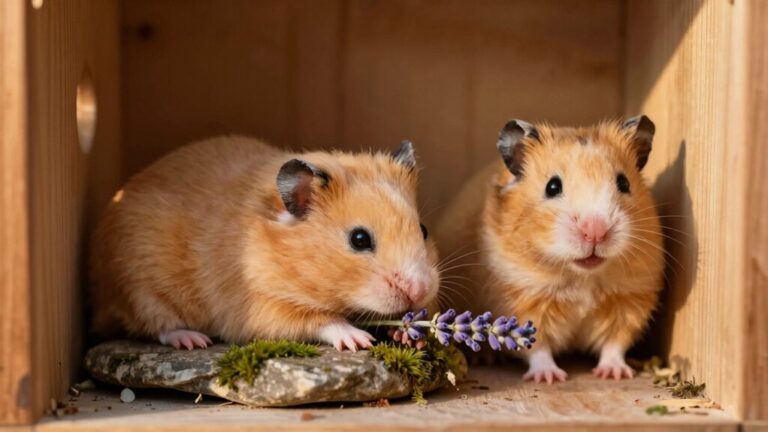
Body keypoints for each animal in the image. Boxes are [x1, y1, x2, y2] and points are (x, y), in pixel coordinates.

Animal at [90, 136, 439, 351]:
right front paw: (360, 339)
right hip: (138, 289)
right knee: (155, 326)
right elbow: (322, 320)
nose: (420, 289)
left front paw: (408, 332)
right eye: (359, 239)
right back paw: (193, 340)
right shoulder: (264, 305)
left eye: (423, 229)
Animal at [435, 116, 663, 383]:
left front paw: (614, 374)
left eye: (624, 183)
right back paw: (484, 358)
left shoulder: (630, 300)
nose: (595, 231)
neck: (582, 278)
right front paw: (550, 378)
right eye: (552, 187)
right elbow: (536, 346)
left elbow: (615, 344)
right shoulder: (522, 299)